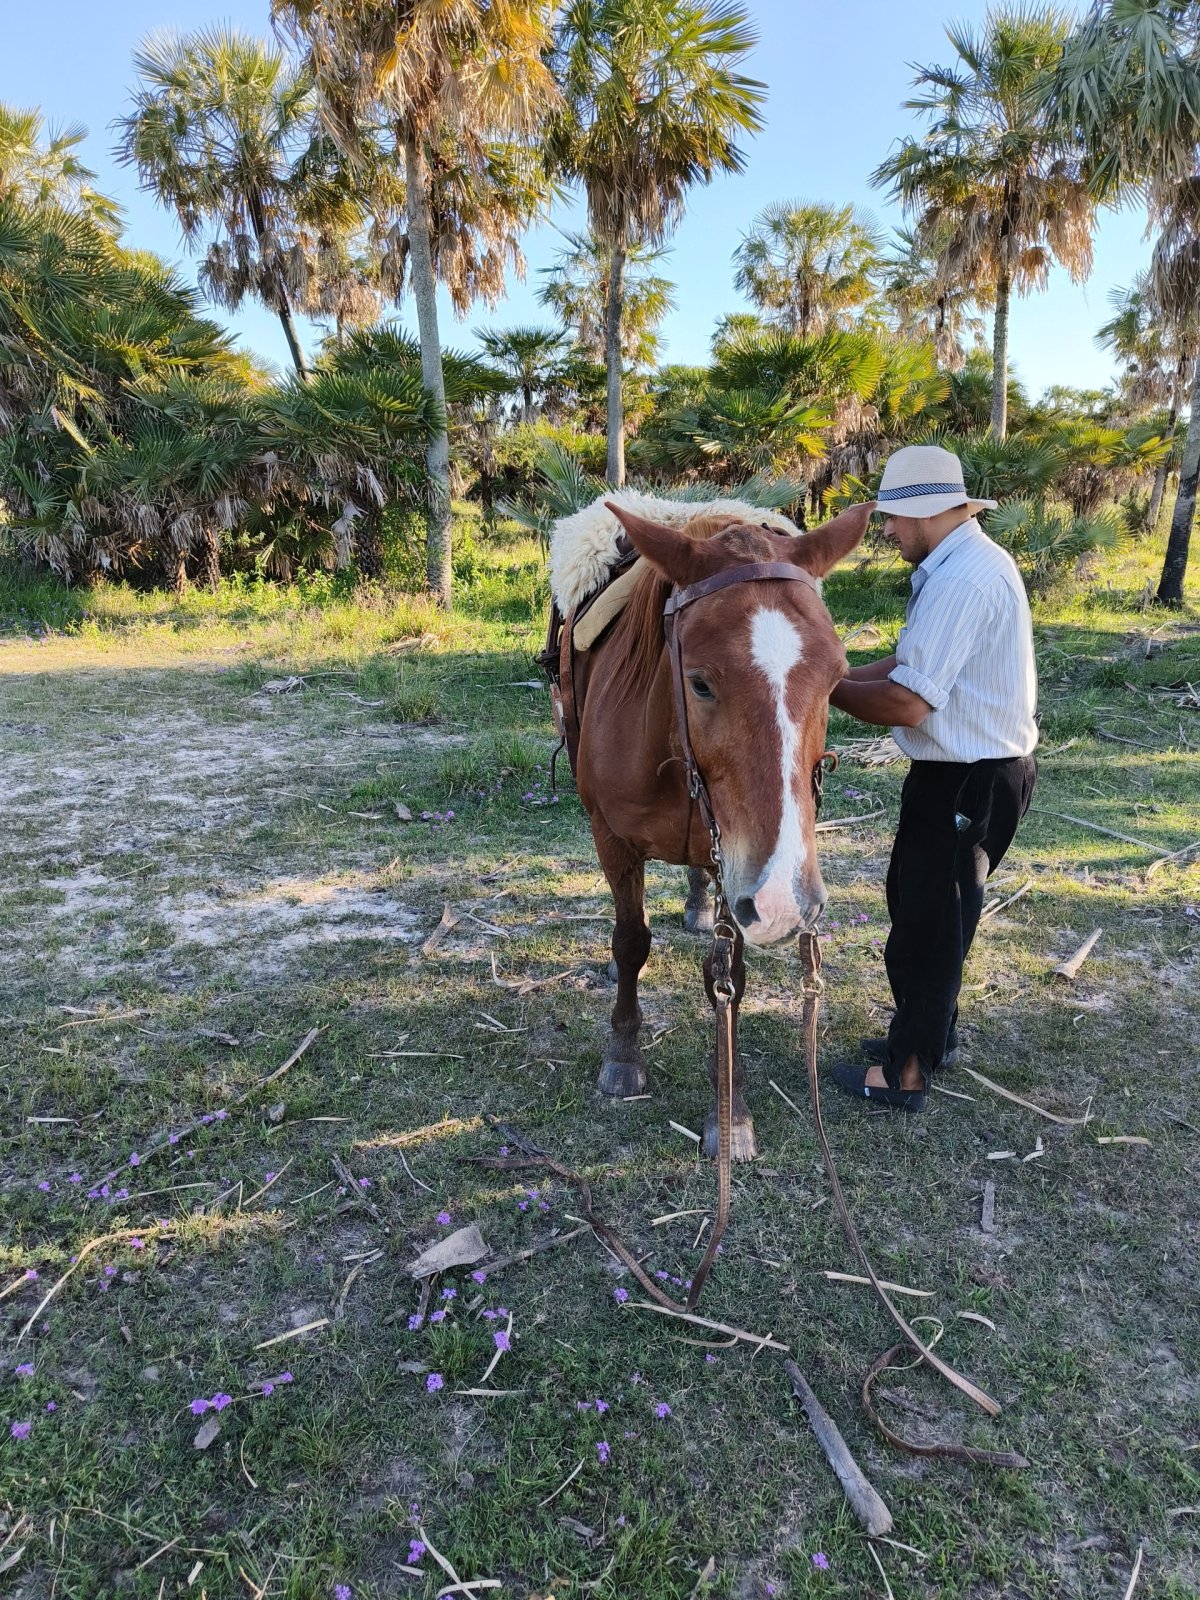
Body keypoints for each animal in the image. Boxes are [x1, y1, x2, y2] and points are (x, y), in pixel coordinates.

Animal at [572, 499, 876, 1164]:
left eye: (836, 678)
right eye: (701, 682)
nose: (786, 903)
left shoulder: (735, 868)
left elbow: (729, 977)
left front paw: (730, 1113)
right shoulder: (612, 839)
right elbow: (629, 942)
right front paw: (623, 1057)